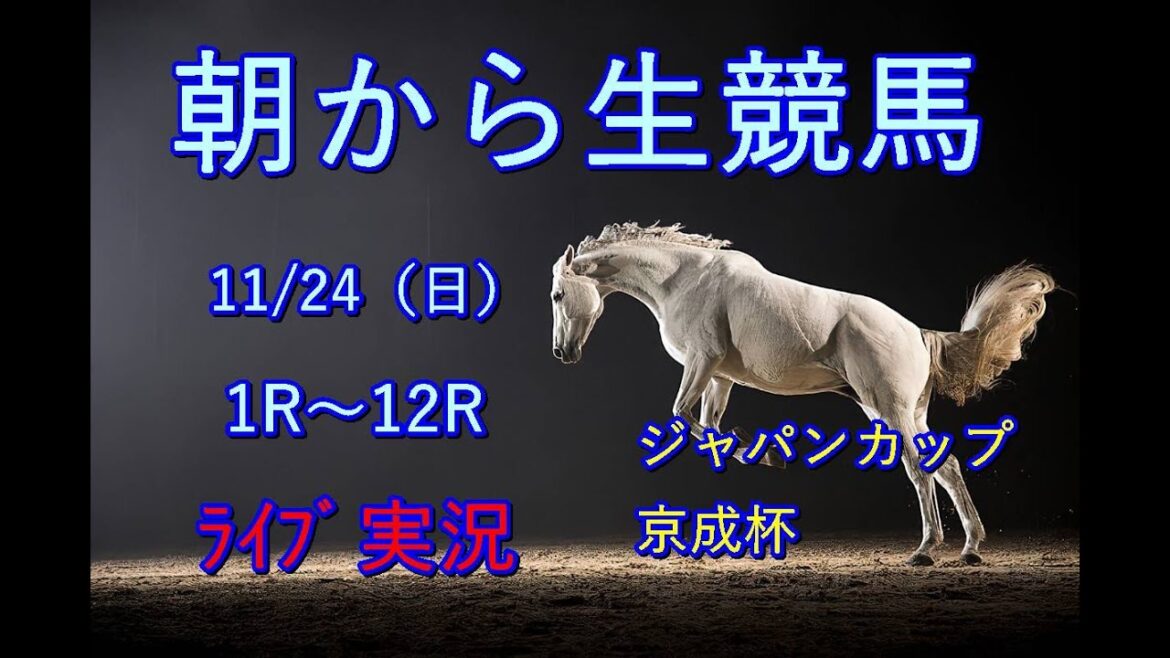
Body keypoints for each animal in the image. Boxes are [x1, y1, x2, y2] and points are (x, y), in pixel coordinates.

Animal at [549, 222, 1055, 566]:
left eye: (557, 295)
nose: (561, 352)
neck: (685, 279)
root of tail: (917, 333)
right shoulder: (720, 377)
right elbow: (709, 427)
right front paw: (766, 455)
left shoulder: (702, 361)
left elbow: (682, 415)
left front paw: (769, 456)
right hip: (897, 412)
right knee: (946, 466)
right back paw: (970, 548)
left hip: (889, 410)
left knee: (920, 470)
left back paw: (926, 550)